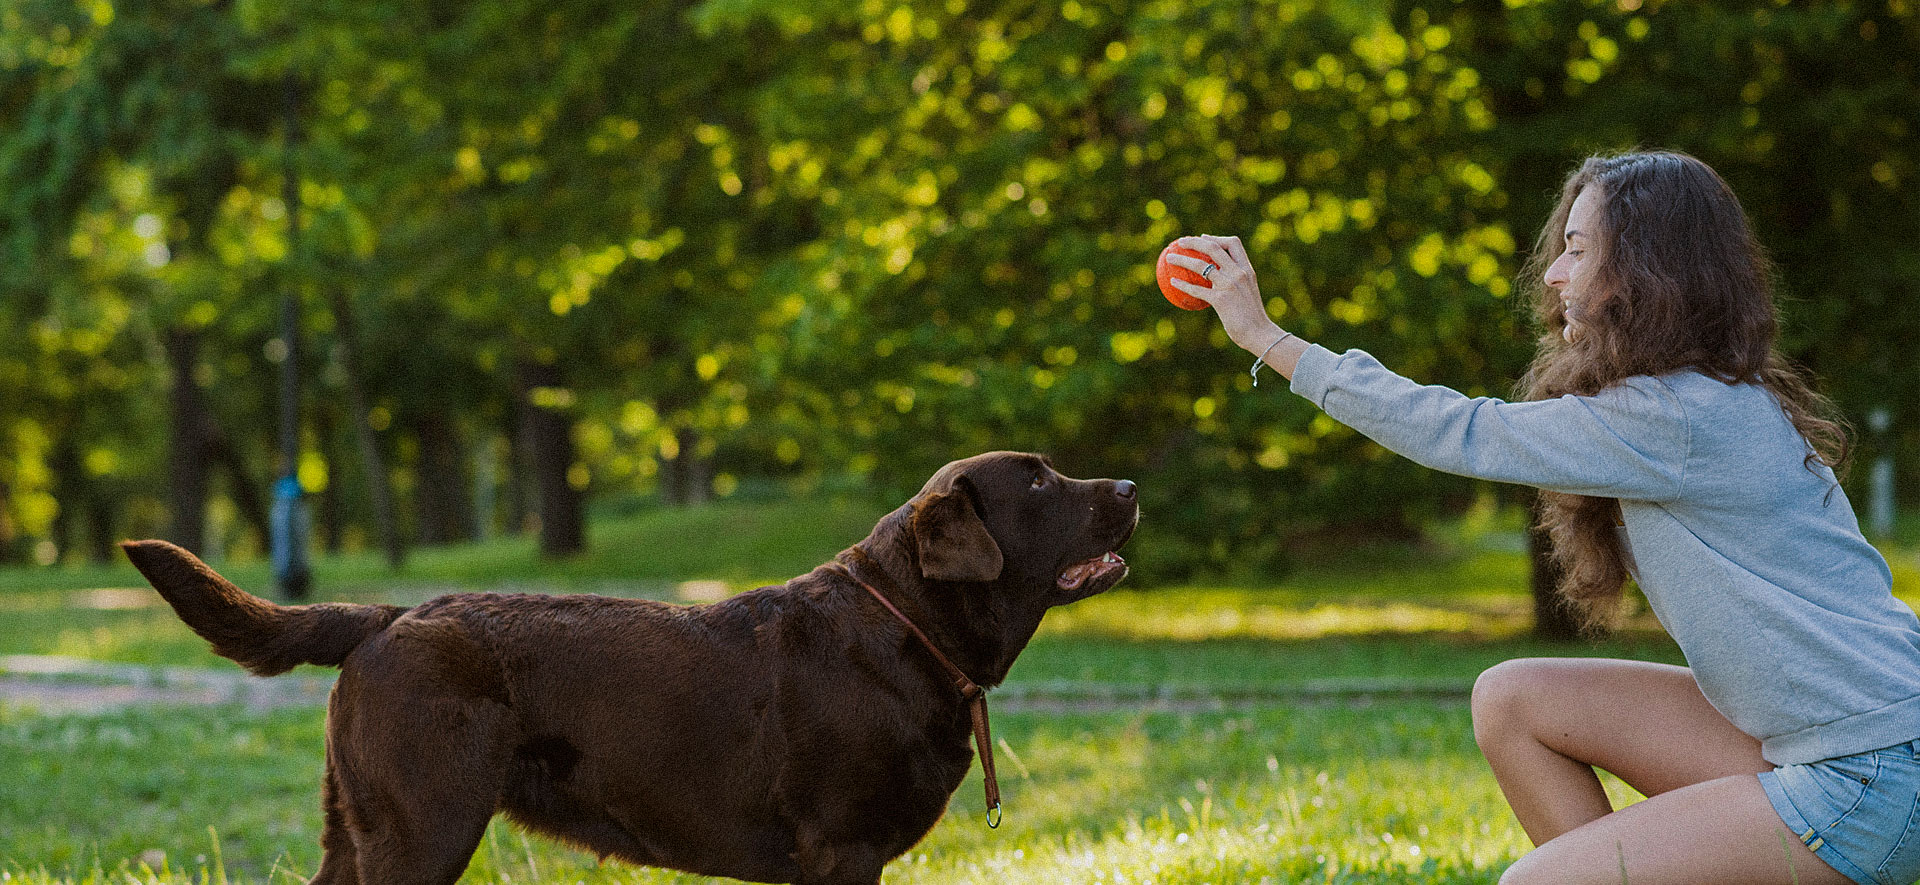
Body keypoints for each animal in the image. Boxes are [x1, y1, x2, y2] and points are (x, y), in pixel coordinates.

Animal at [120, 451, 1128, 879]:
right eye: (1038, 481)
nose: (1128, 486)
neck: (903, 623)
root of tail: (392, 613)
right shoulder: (839, 849)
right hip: (424, 828)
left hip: (359, 827)